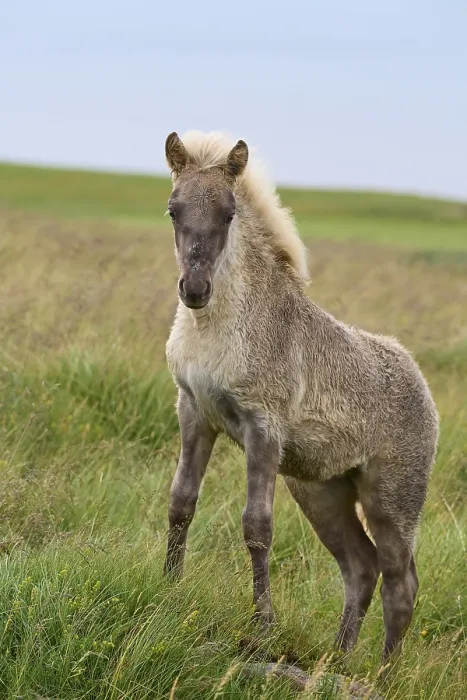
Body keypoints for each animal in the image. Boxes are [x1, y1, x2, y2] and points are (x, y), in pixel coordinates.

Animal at [162, 130, 439, 661]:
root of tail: (424, 389)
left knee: (401, 582)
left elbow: (257, 527)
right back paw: (339, 658)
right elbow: (181, 502)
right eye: (173, 208)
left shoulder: (262, 427)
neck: (218, 328)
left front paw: (262, 626)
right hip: (321, 493)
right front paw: (167, 587)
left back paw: (382, 671)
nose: (195, 289)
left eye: (228, 213)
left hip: (391, 501)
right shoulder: (195, 412)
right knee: (361, 567)